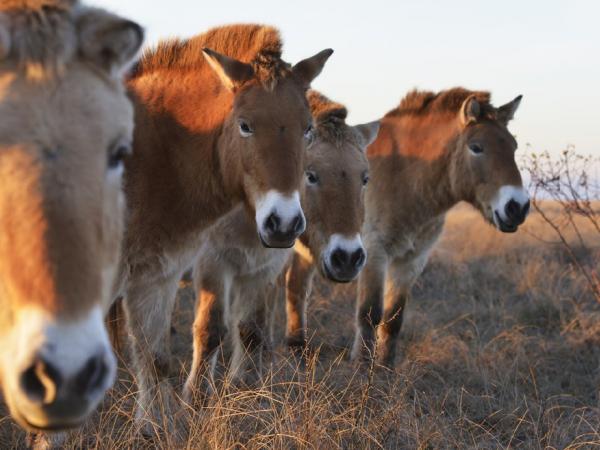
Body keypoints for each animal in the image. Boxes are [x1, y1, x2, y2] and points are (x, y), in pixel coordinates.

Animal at [185, 90, 378, 398]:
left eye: (365, 178)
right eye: (310, 175)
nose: (348, 258)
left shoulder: (268, 267)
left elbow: (255, 326)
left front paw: (245, 387)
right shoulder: (212, 262)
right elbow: (210, 329)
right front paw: (196, 398)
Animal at [344, 87, 528, 366]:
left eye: (513, 147)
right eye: (476, 147)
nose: (517, 207)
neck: (403, 174)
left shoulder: (412, 260)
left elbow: (393, 320)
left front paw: (386, 370)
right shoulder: (374, 252)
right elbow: (369, 314)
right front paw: (361, 368)